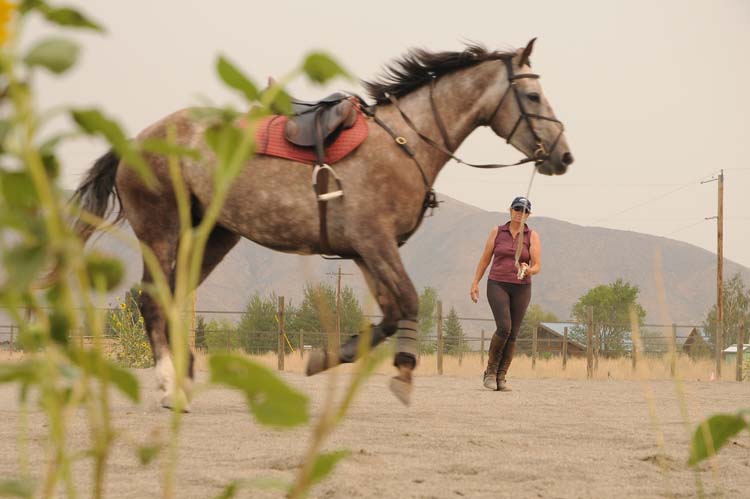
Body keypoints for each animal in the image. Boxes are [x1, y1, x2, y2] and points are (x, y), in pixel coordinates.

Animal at [72, 41, 576, 410]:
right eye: (533, 96)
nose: (564, 156)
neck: (405, 142)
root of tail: (136, 139)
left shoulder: (367, 253)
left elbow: (390, 314)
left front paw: (325, 358)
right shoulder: (376, 243)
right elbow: (409, 301)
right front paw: (403, 370)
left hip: (215, 236)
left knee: (172, 299)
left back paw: (185, 377)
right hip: (161, 231)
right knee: (152, 301)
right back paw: (168, 388)